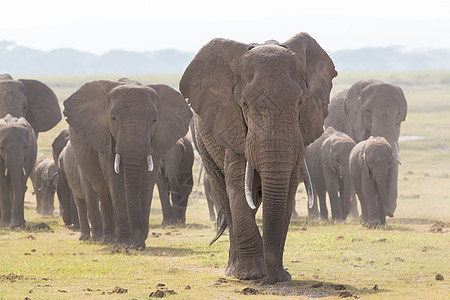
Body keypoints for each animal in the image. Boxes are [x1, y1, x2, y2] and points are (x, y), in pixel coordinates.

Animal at [63, 78, 192, 250]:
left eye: (155, 120)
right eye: (113, 118)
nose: (139, 245)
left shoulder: (156, 139)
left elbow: (147, 181)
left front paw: (139, 241)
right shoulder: (105, 137)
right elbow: (116, 181)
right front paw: (124, 244)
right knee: (102, 192)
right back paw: (107, 240)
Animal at [180, 32, 338, 284]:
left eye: (300, 102)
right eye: (244, 104)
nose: (271, 280)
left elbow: (288, 190)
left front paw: (281, 276)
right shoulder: (234, 127)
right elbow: (237, 187)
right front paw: (251, 275)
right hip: (203, 144)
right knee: (225, 194)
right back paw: (234, 271)